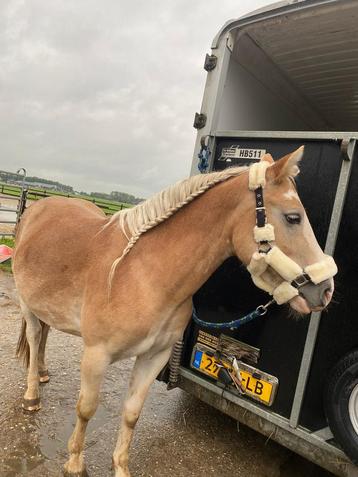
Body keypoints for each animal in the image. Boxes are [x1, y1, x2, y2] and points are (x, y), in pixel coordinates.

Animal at [11, 147, 336, 474]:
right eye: (293, 217)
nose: (326, 290)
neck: (144, 276)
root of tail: (38, 207)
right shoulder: (96, 355)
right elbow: (86, 408)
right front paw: (75, 463)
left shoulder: (155, 356)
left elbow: (131, 413)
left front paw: (120, 467)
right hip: (27, 304)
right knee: (36, 337)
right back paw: (31, 395)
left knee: (45, 334)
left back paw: (42, 373)